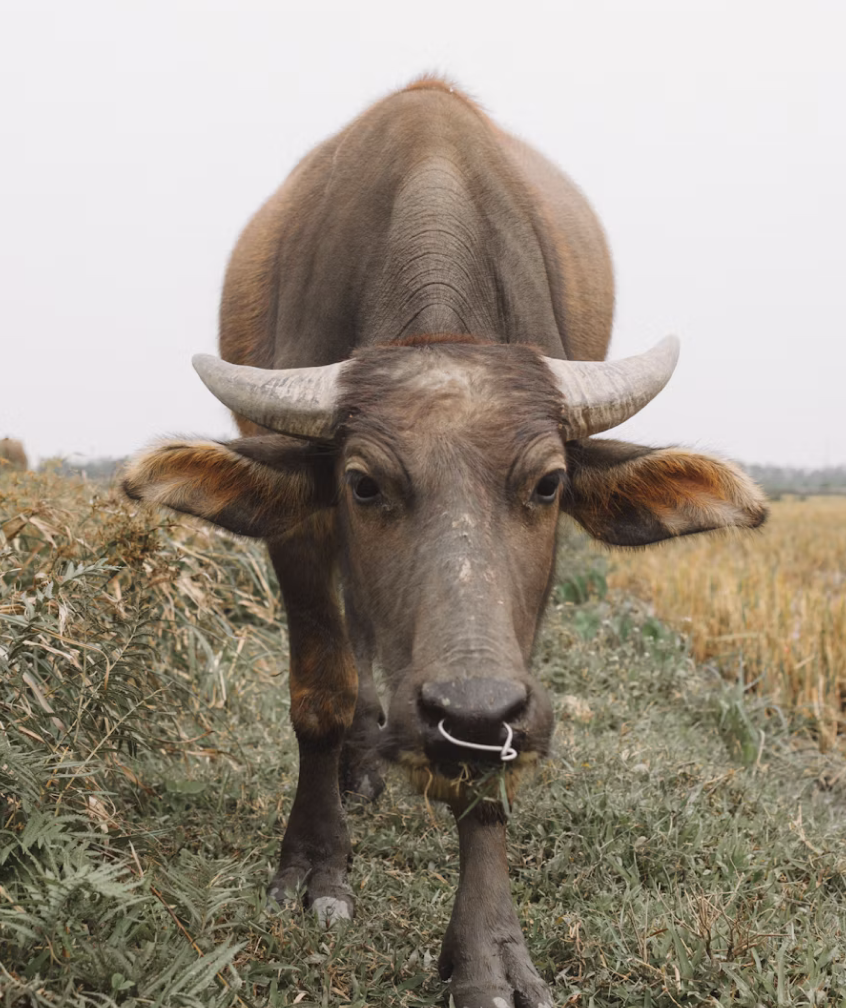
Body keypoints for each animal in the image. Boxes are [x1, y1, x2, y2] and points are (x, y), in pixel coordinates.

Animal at [125, 78, 766, 1007]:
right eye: (363, 482)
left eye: (548, 484)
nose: (466, 714)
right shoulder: (304, 531)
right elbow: (319, 694)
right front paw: (316, 869)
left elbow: (488, 777)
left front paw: (488, 951)